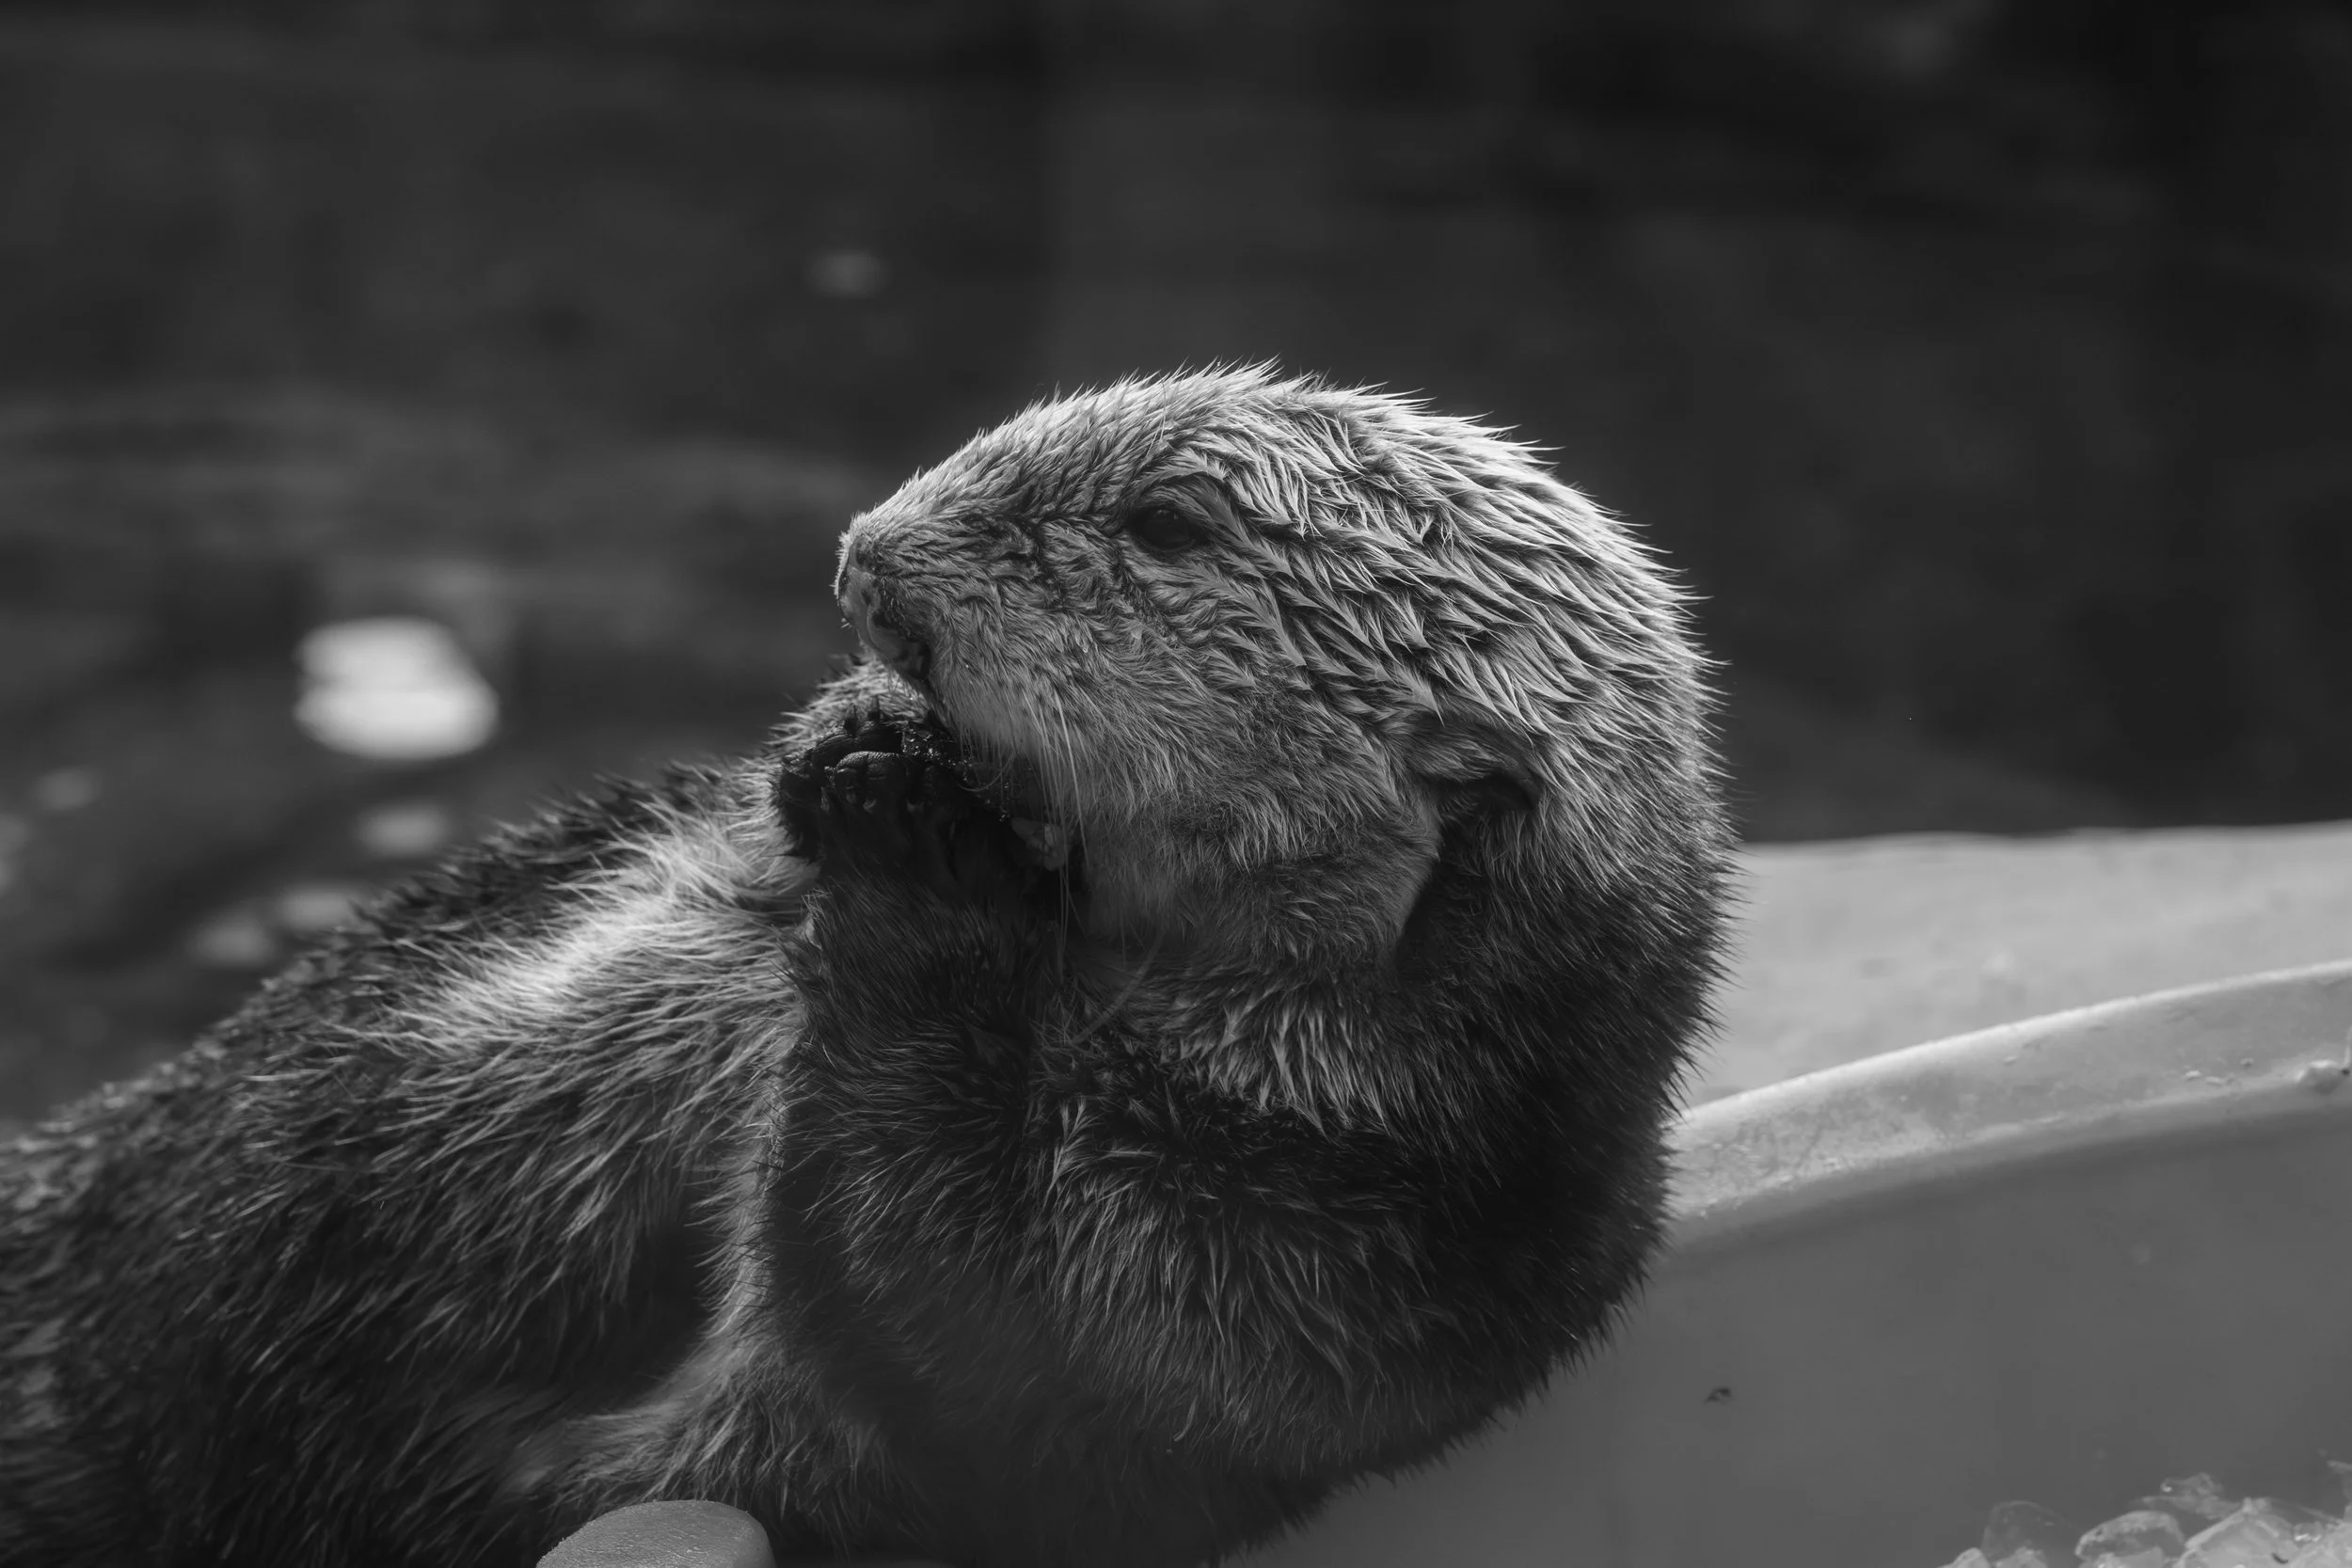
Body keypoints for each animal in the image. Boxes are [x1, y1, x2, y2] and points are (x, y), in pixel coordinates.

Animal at [0, 368, 1729, 1568]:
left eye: (1168, 528)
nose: (870, 552)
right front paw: (854, 738)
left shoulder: (1268, 1255)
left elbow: (937, 1297)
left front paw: (917, 845)